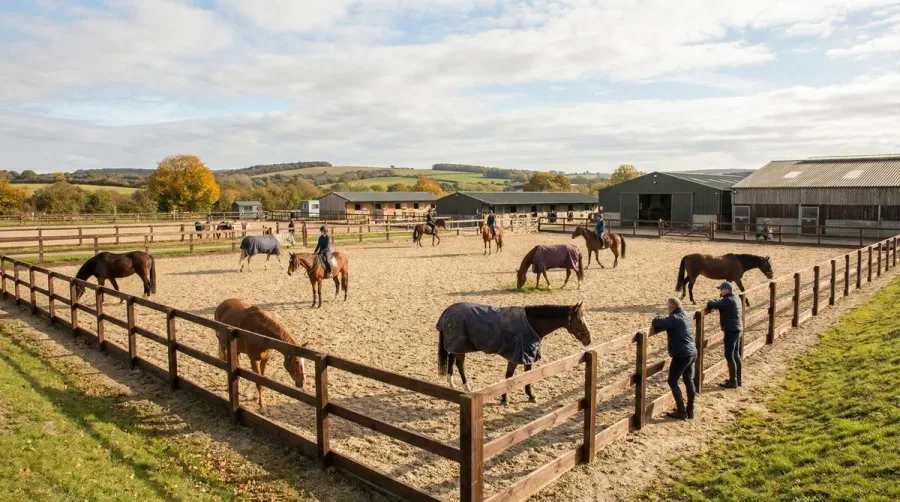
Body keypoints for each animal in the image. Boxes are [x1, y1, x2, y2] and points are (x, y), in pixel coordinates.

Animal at [437, 302, 590, 404]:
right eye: (579, 320)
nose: (589, 339)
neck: (530, 324)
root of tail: (448, 311)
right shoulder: (515, 356)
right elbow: (508, 376)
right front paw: (505, 398)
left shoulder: (528, 355)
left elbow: (528, 374)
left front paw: (531, 395)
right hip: (460, 347)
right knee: (460, 365)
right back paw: (467, 388)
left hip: (456, 346)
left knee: (452, 360)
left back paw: (451, 384)